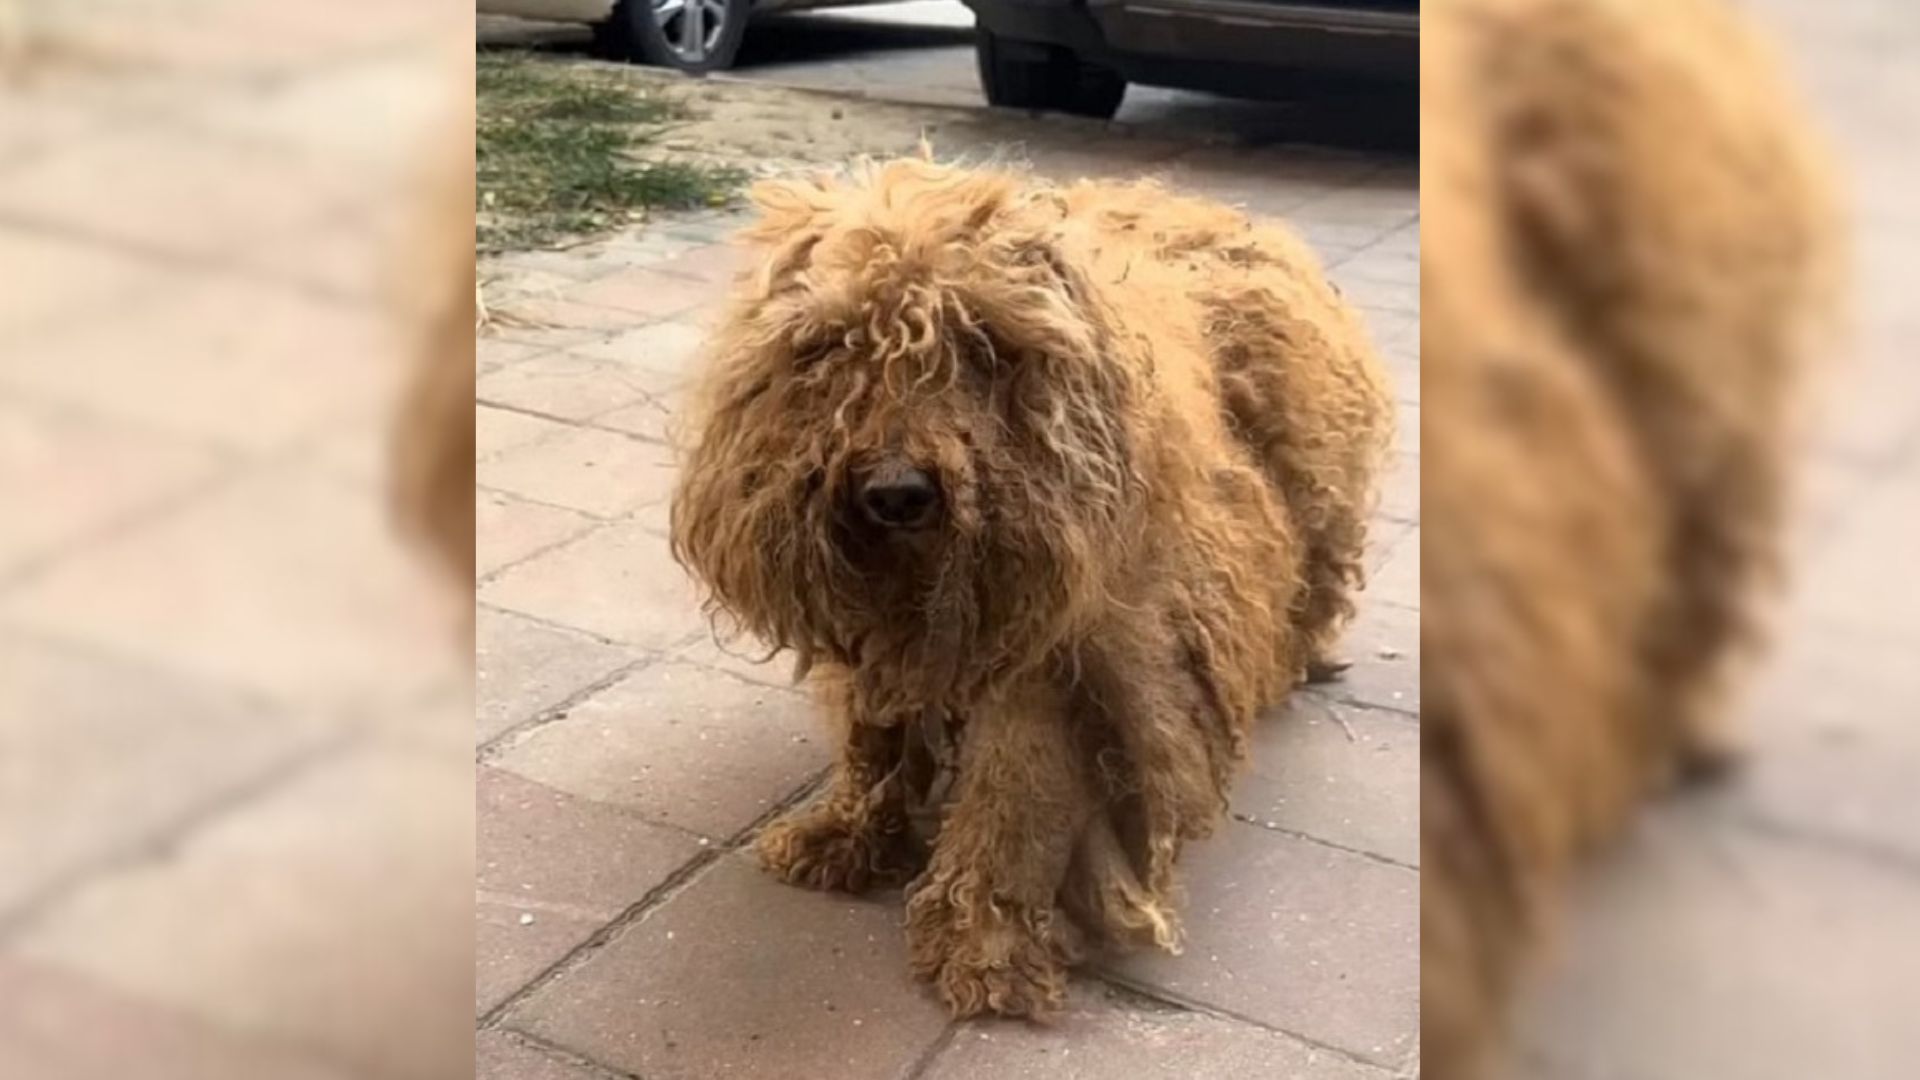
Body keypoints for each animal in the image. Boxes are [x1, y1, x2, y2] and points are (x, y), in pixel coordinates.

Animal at [675, 157, 1397, 1006]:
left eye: (982, 346)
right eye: (832, 346)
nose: (896, 493)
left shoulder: (1057, 662)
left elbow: (1015, 796)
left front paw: (984, 940)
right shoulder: (880, 627)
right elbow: (872, 739)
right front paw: (844, 832)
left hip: (1309, 499)